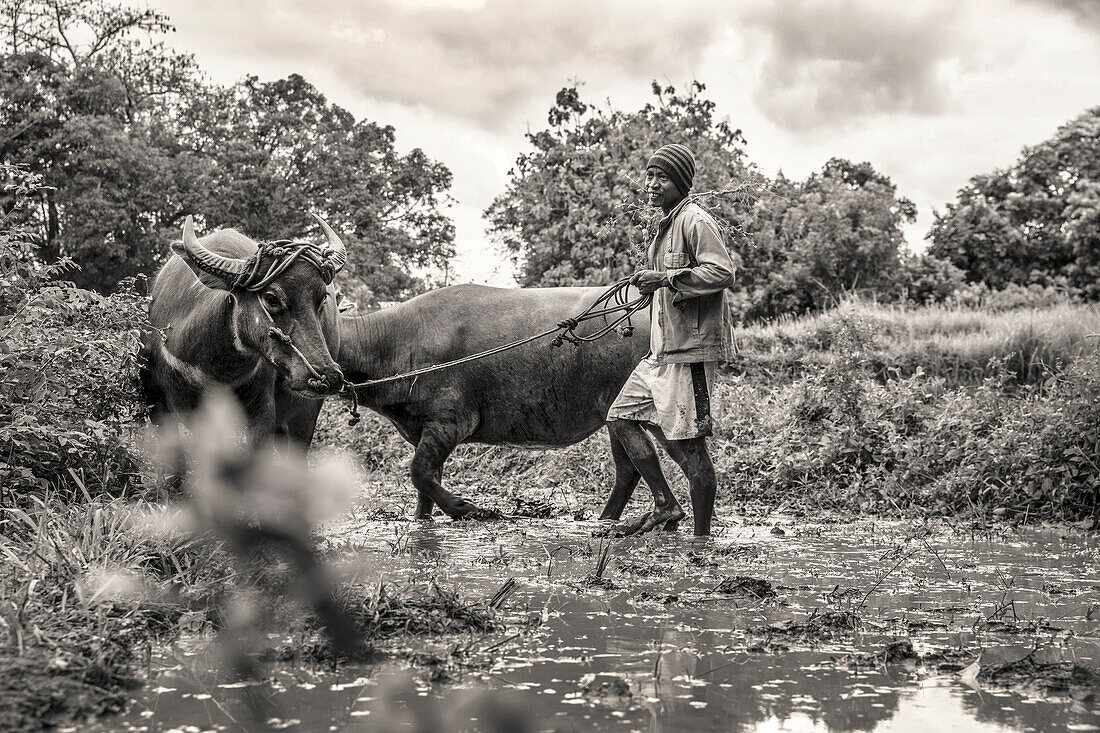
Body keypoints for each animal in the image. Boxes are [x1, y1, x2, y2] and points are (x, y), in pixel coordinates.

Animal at [141, 214, 345, 442]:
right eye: (271, 298)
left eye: (322, 299)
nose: (329, 375)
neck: (213, 372)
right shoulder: (158, 407)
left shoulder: (262, 415)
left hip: (305, 415)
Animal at [338, 283, 651, 519]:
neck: (395, 341)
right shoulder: (422, 431)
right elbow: (426, 486)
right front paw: (424, 518)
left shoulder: (449, 423)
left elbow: (419, 473)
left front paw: (467, 508)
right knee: (629, 469)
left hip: (617, 408)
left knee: (628, 468)